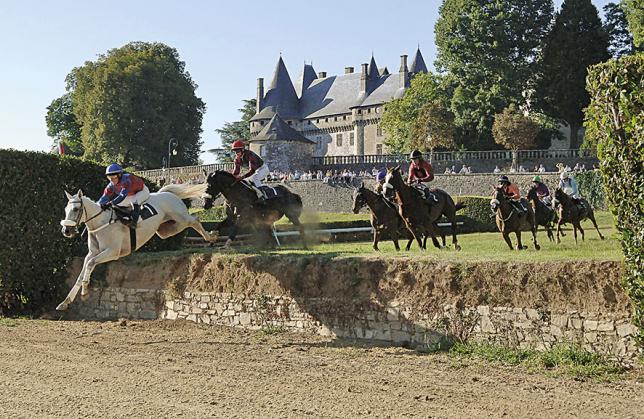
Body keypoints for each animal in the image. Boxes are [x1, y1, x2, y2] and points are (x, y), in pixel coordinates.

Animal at [57, 185, 214, 312]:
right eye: (65, 209)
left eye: (75, 209)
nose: (66, 231)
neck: (100, 223)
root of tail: (166, 193)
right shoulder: (92, 253)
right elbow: (82, 271)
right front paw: (66, 302)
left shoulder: (113, 252)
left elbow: (90, 264)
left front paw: (85, 292)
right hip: (165, 230)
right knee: (182, 226)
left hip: (181, 218)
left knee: (194, 220)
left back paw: (211, 237)